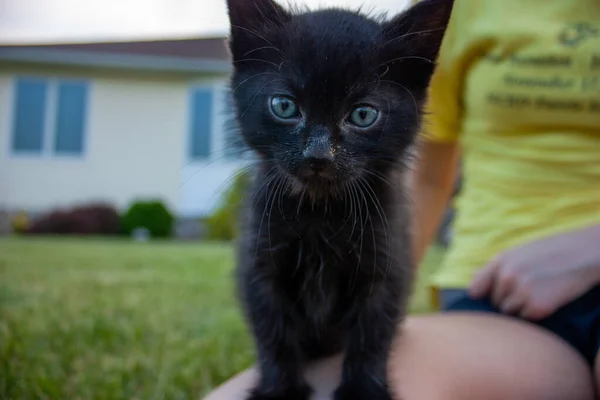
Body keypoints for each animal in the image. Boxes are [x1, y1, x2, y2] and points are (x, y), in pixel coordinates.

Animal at [227, 1, 452, 398]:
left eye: (363, 114)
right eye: (284, 106)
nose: (319, 154)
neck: (321, 212)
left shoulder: (387, 263)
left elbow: (373, 332)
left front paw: (363, 389)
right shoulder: (259, 260)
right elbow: (273, 330)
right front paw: (279, 389)